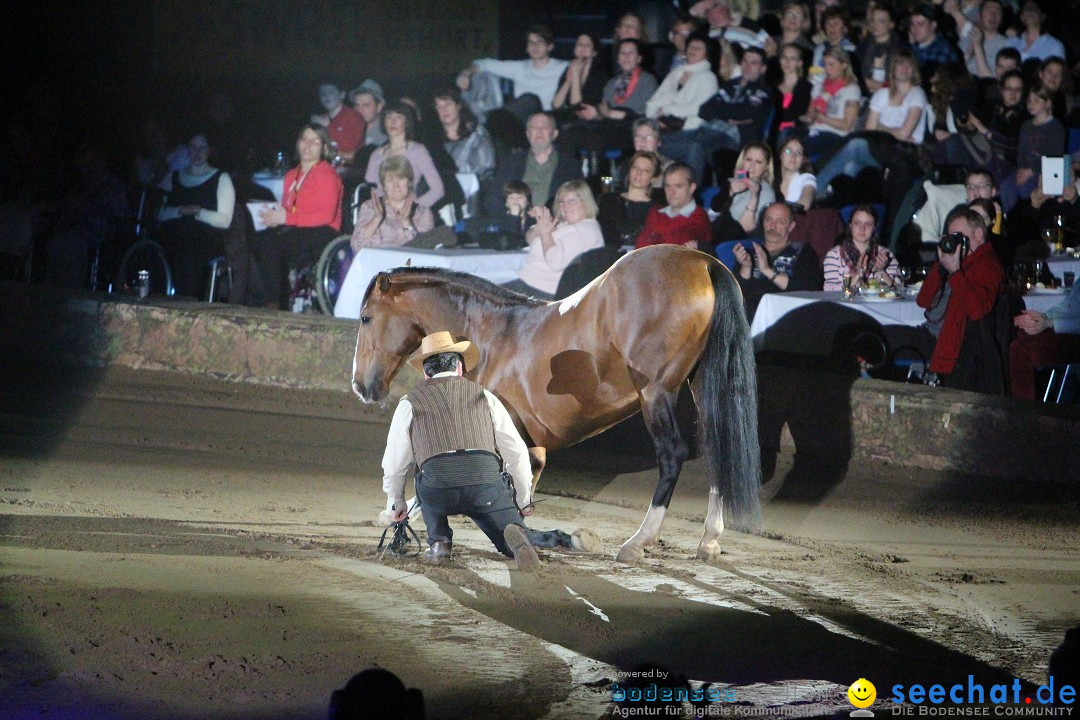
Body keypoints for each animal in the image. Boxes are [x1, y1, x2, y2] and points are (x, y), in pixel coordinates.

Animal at [349, 246, 756, 561]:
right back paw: (709, 540)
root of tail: (703, 262)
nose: (360, 385)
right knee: (717, 450)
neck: (493, 335)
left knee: (672, 455)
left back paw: (638, 542)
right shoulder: (530, 447)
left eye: (366, 317)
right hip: (702, 386)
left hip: (656, 393)